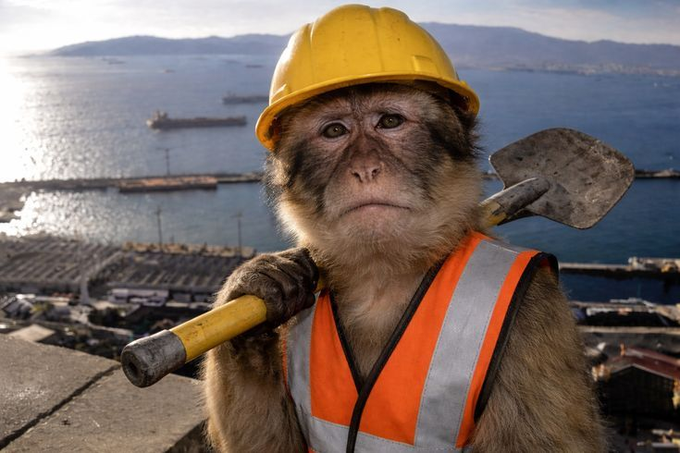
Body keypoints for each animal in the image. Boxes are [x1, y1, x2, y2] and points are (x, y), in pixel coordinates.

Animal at [202, 82, 606, 452]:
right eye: (334, 131)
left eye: (390, 121)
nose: (365, 170)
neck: (382, 274)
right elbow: (271, 445)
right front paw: (257, 282)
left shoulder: (535, 312)